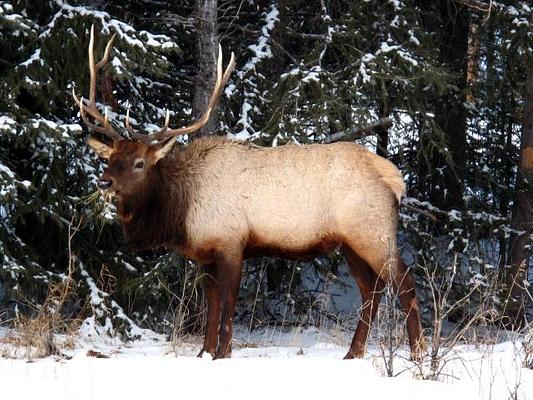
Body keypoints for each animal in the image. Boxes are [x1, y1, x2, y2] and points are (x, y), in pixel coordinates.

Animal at [74, 26, 424, 360]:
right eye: (109, 158)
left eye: (139, 163)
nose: (103, 183)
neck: (181, 211)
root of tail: (394, 178)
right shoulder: (206, 254)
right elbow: (212, 306)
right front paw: (204, 352)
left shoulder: (231, 242)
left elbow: (228, 304)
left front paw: (223, 353)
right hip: (351, 242)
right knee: (372, 290)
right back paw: (353, 353)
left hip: (373, 231)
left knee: (405, 283)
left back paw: (419, 354)